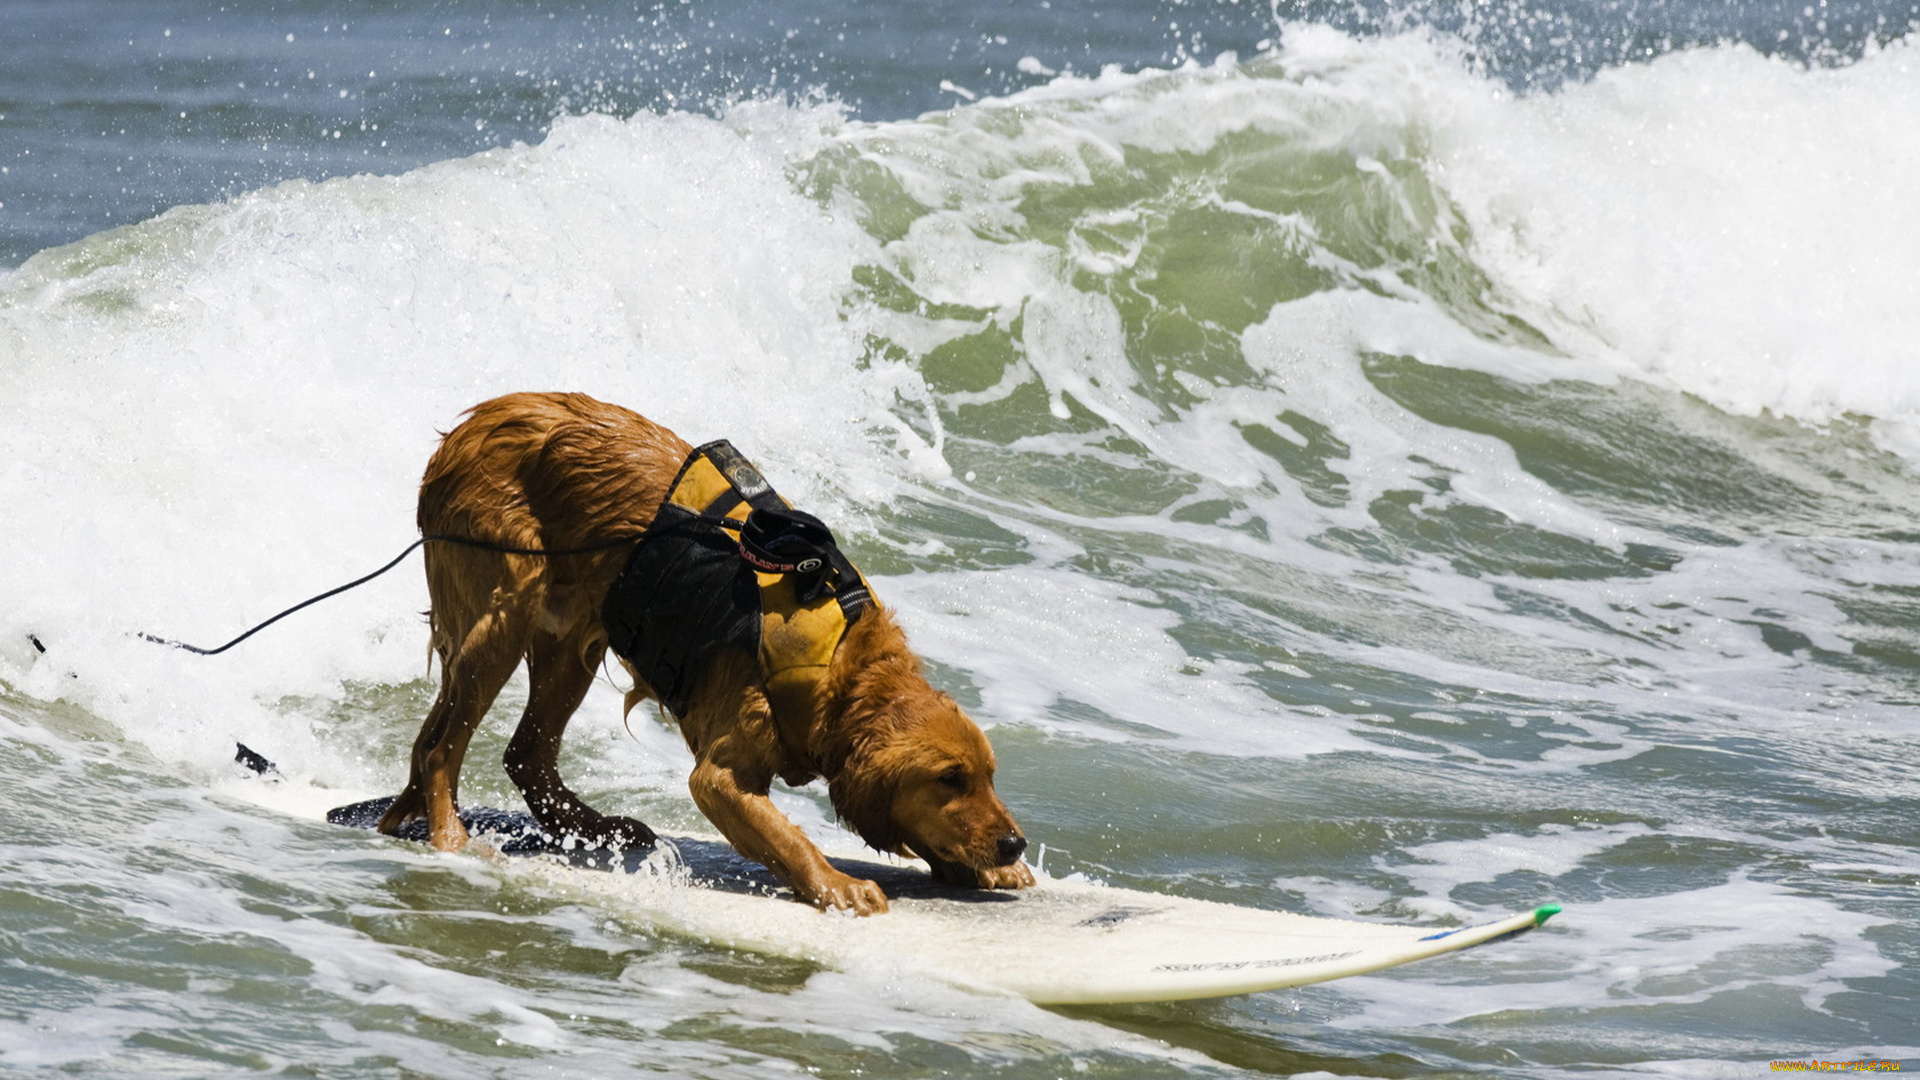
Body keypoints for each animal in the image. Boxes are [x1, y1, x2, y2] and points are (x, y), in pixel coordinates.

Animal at [376, 386, 1036, 907]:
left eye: (988, 776)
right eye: (949, 779)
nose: (1015, 841)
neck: (840, 666)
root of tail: (470, 425)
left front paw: (990, 870)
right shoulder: (719, 775)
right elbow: (788, 837)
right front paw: (837, 884)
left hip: (573, 634)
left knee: (523, 753)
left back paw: (598, 828)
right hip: (506, 610)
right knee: (441, 749)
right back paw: (451, 836)